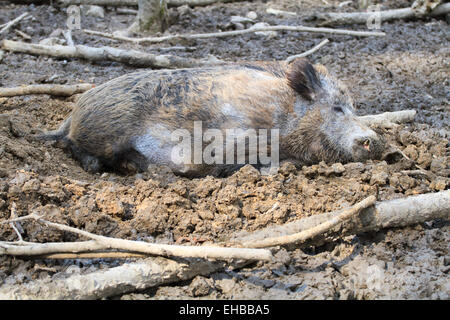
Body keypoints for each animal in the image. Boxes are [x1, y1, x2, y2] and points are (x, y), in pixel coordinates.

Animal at [37, 58, 384, 176]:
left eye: (354, 106)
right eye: (337, 107)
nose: (375, 141)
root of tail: (74, 113)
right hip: (107, 129)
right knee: (77, 148)